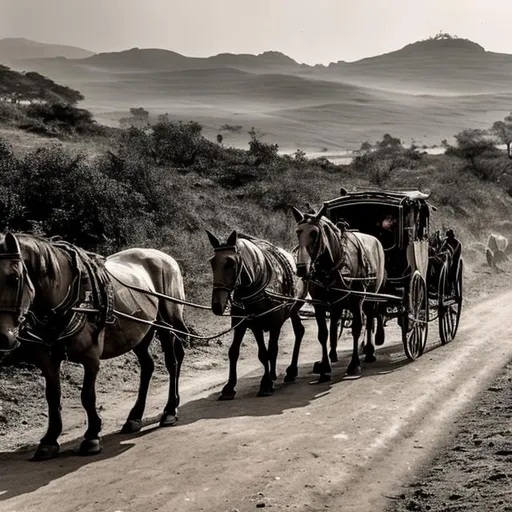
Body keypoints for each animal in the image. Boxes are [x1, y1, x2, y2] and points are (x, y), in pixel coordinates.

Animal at [0, 232, 188, 460]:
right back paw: (134, 417)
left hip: (166, 324)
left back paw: (170, 410)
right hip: (140, 331)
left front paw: (91, 436)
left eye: (14, 278)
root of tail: (165, 257)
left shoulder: (90, 358)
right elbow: (52, 396)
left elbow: (87, 396)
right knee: (147, 366)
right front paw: (49, 440)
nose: (3, 336)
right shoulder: (46, 358)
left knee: (172, 363)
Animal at [205, 229, 308, 400]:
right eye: (212, 262)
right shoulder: (245, 323)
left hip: (293, 309)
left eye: (230, 262)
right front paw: (229, 387)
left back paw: (291, 371)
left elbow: (269, 351)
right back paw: (276, 373)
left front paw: (265, 384)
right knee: (298, 331)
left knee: (296, 333)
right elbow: (236, 351)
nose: (217, 305)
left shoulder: (274, 322)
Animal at [292, 206, 384, 382]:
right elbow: (323, 333)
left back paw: (369, 350)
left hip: (370, 297)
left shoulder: (356, 300)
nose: (301, 268)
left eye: (314, 233)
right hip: (337, 303)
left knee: (369, 319)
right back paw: (333, 354)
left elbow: (356, 328)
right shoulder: (319, 303)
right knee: (336, 320)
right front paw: (324, 368)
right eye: (298, 232)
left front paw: (354, 364)